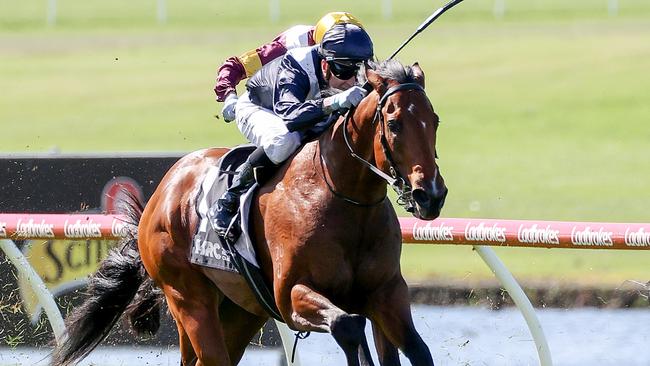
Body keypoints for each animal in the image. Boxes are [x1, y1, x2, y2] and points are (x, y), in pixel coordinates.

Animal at [53, 60, 446, 366]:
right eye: (394, 124)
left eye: (435, 120)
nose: (431, 195)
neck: (344, 201)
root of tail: (163, 190)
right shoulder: (290, 296)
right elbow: (348, 325)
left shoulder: (386, 291)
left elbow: (417, 349)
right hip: (187, 297)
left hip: (240, 309)